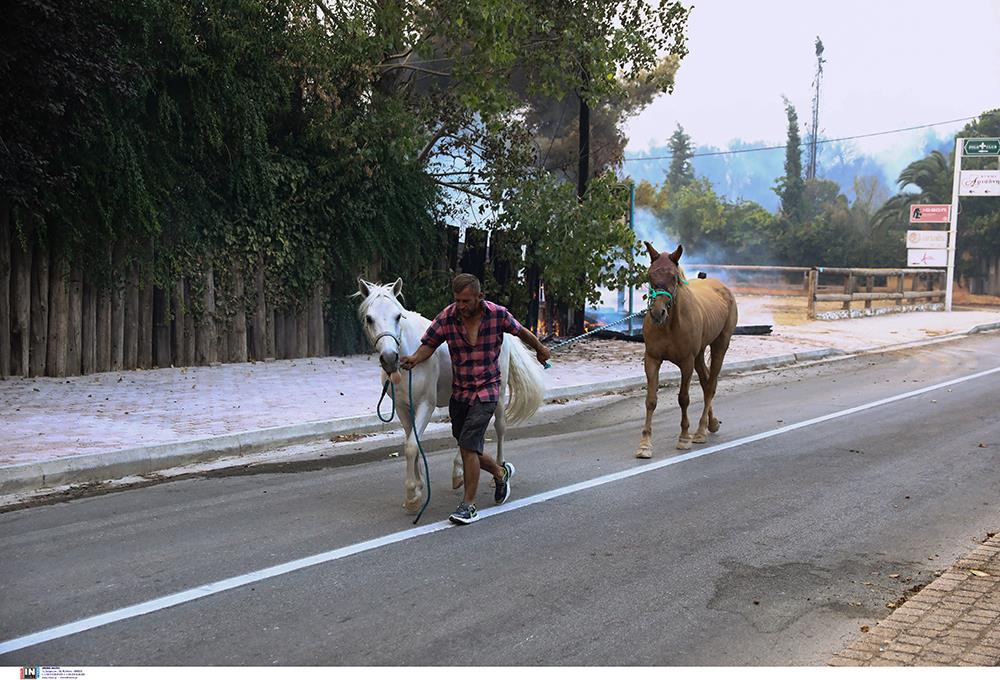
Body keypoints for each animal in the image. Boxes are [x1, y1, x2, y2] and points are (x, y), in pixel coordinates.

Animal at [358, 278, 548, 512]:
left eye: (397, 316)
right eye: (369, 318)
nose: (389, 358)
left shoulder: (425, 404)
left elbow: (411, 446)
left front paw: (412, 495)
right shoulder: (403, 407)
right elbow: (412, 442)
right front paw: (419, 486)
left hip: (499, 393)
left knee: (499, 428)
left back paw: (499, 471)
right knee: (465, 435)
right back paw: (459, 472)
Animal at [636, 239, 740, 456]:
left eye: (674, 277)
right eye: (650, 275)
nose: (657, 313)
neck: (670, 325)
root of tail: (722, 287)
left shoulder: (686, 362)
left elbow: (683, 398)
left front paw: (684, 437)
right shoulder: (652, 359)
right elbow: (651, 400)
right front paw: (645, 444)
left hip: (720, 346)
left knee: (710, 386)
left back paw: (700, 431)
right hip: (699, 355)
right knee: (706, 381)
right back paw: (712, 423)